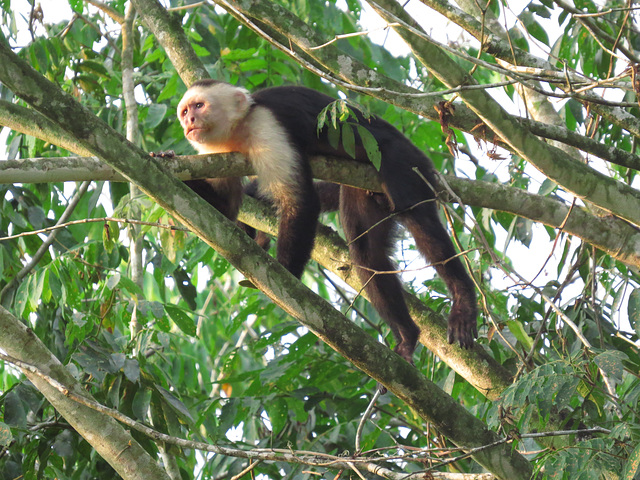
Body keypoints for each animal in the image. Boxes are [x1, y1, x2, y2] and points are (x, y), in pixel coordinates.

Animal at [178, 80, 478, 362]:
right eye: (184, 111)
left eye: (199, 106)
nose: (188, 121)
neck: (238, 130)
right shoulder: (214, 154)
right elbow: (225, 206)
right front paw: (171, 168)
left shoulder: (265, 125)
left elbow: (301, 201)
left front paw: (285, 275)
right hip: (365, 190)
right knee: (368, 255)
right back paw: (407, 335)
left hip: (405, 161)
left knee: (418, 218)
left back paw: (463, 299)